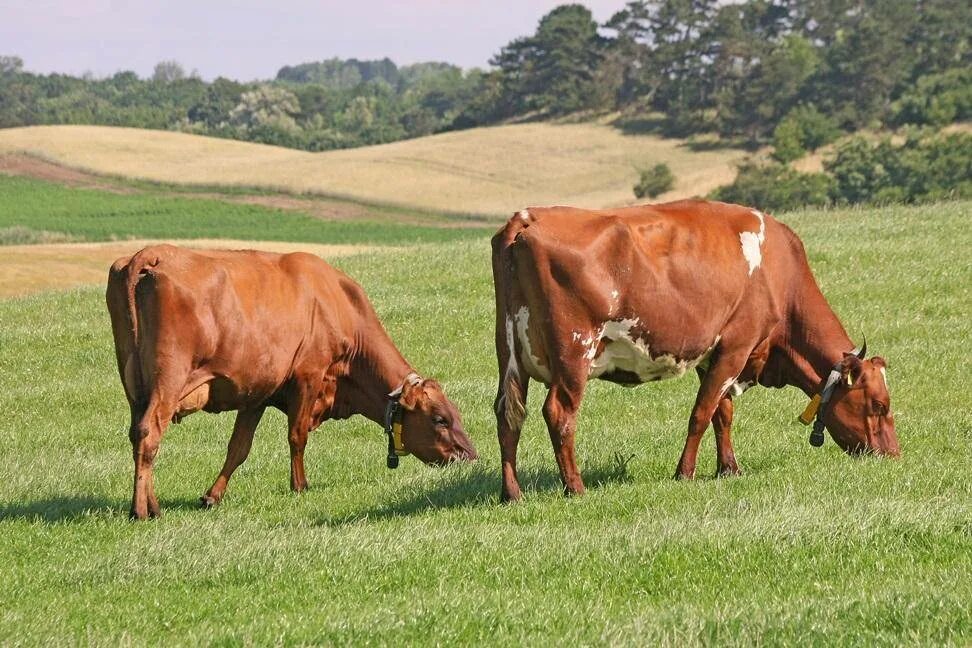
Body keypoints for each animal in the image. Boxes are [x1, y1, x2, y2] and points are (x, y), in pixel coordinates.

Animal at [107, 244, 478, 520]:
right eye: (440, 419)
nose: (471, 456)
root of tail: (152, 253)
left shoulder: (257, 392)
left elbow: (238, 448)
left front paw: (213, 495)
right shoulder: (308, 376)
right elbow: (297, 436)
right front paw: (300, 485)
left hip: (133, 384)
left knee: (137, 433)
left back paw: (151, 504)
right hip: (168, 379)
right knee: (150, 433)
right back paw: (142, 511)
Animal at [490, 201, 900, 502]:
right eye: (879, 405)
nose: (893, 455)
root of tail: (528, 217)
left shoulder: (713, 354)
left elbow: (723, 413)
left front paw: (729, 468)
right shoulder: (736, 345)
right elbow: (702, 413)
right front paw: (684, 473)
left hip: (509, 355)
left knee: (508, 415)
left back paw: (512, 493)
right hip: (574, 354)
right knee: (558, 413)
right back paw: (575, 488)